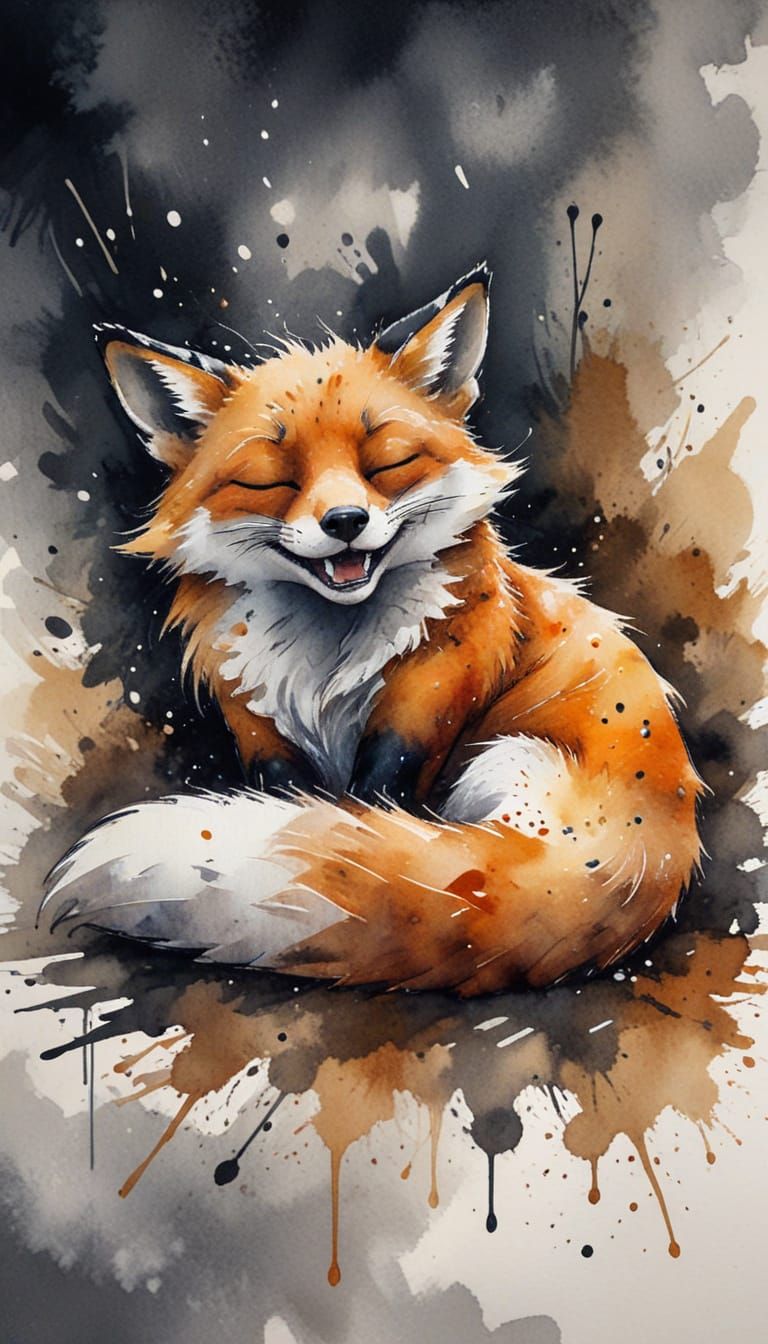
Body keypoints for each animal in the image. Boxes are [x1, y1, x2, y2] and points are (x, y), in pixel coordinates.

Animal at [40, 266, 703, 994]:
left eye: (386, 463)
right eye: (272, 480)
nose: (346, 521)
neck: (327, 659)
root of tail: (654, 855)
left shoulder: (428, 699)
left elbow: (372, 805)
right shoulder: (257, 722)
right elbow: (292, 797)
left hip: (507, 760)